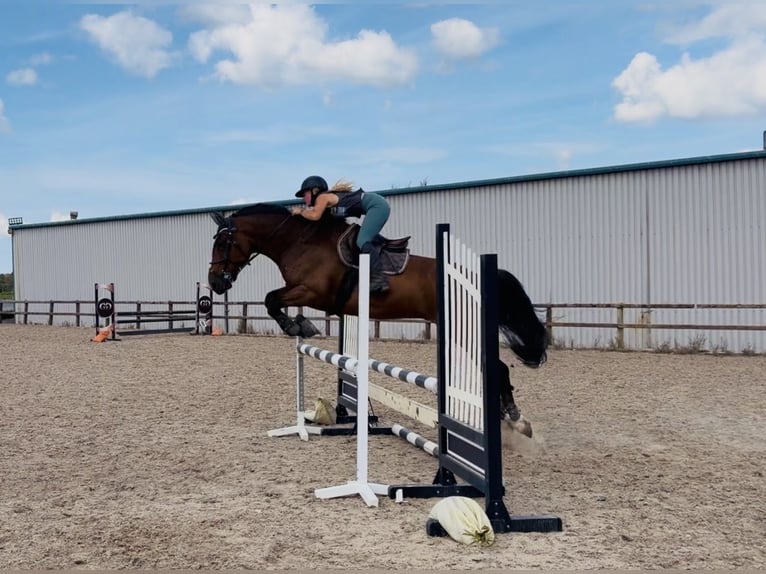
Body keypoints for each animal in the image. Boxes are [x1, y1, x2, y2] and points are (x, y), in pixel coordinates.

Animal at [207, 203, 547, 437]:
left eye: (222, 242)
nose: (215, 283)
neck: (299, 242)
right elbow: (272, 300)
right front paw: (300, 325)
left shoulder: (312, 292)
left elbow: (270, 299)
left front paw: (297, 325)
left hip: (461, 331)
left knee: (498, 368)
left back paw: (516, 418)